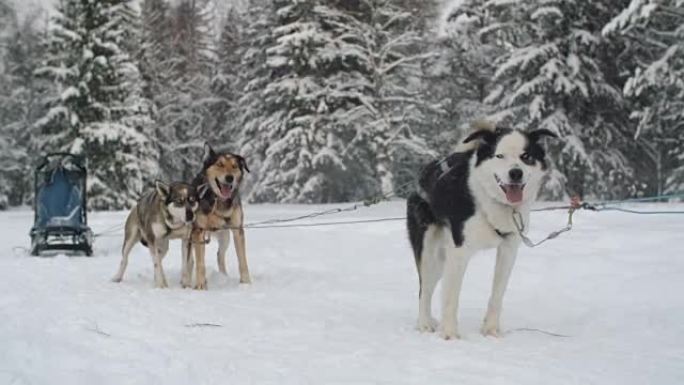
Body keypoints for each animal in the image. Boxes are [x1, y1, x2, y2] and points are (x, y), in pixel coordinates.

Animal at [186, 143, 250, 288]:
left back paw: (223, 277)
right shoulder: (199, 231)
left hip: (225, 237)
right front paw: (200, 285)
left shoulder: (237, 230)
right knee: (191, 260)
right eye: (220, 164)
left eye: (234, 166)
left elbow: (242, 260)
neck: (218, 200)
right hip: (192, 236)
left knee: (219, 255)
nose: (230, 178)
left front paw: (246, 283)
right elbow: (200, 263)